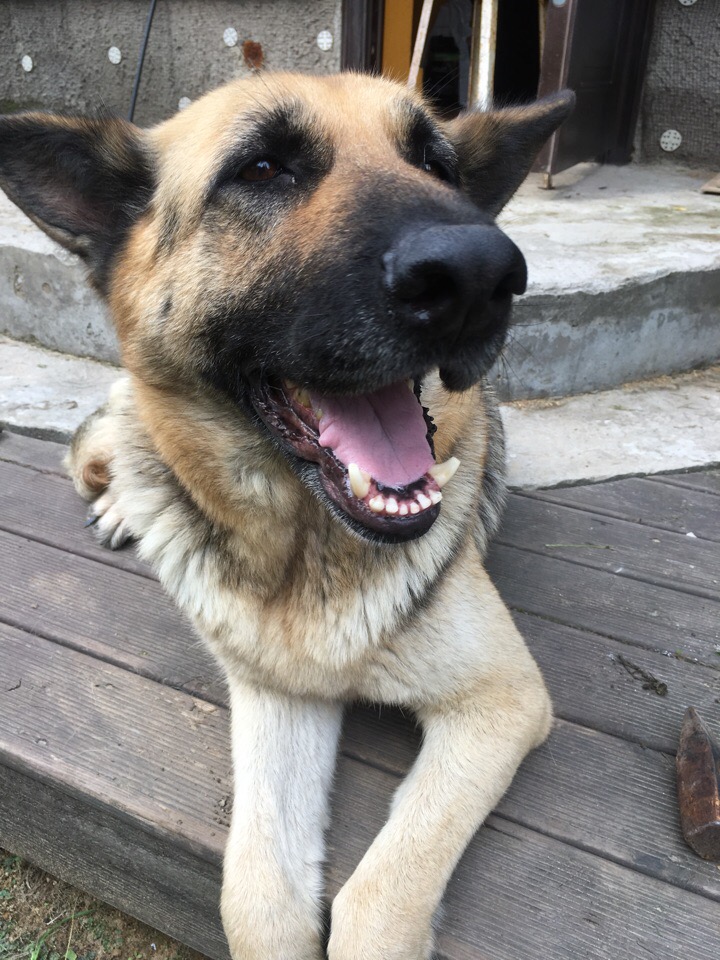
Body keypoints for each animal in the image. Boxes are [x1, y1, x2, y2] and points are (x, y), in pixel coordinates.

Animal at [0, 73, 573, 960]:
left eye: (436, 163)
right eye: (262, 168)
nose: (483, 273)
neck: (307, 552)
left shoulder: (501, 702)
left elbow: (376, 900)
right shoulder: (275, 695)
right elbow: (258, 896)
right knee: (100, 456)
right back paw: (123, 508)